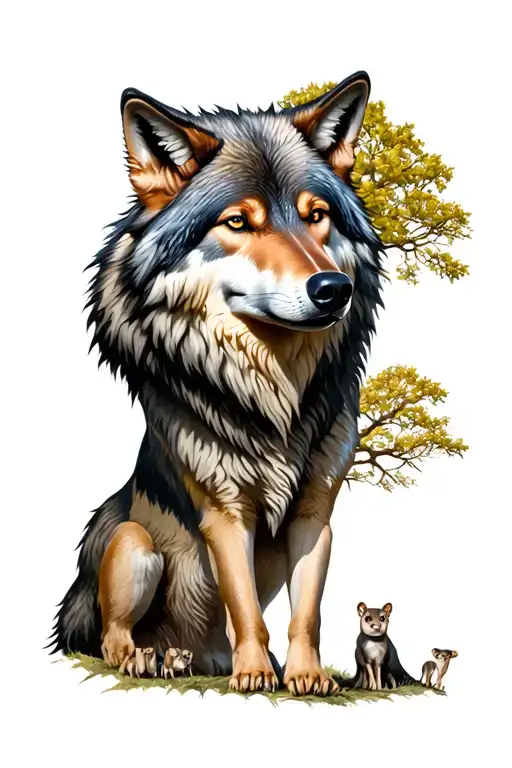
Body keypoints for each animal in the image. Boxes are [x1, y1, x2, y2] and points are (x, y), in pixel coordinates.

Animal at [49, 70, 384, 696]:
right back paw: (149, 659)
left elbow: (306, 611)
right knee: (110, 636)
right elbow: (245, 604)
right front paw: (254, 673)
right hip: (135, 545)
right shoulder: (224, 512)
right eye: (237, 221)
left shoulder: (315, 514)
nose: (333, 289)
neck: (274, 389)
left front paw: (303, 674)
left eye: (316, 214)